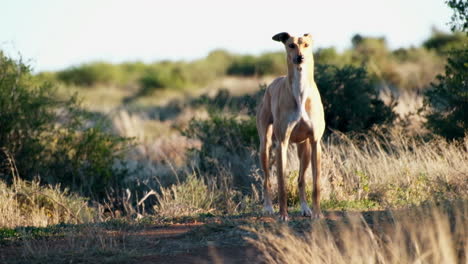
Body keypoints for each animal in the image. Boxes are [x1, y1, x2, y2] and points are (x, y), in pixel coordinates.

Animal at [256, 32, 326, 221]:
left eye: (306, 45)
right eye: (291, 45)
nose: (300, 58)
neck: (300, 92)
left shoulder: (315, 142)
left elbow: (316, 183)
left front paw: (317, 213)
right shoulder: (282, 143)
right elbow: (281, 184)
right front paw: (283, 215)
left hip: (305, 149)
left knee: (301, 180)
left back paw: (305, 208)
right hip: (265, 146)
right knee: (266, 179)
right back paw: (268, 207)